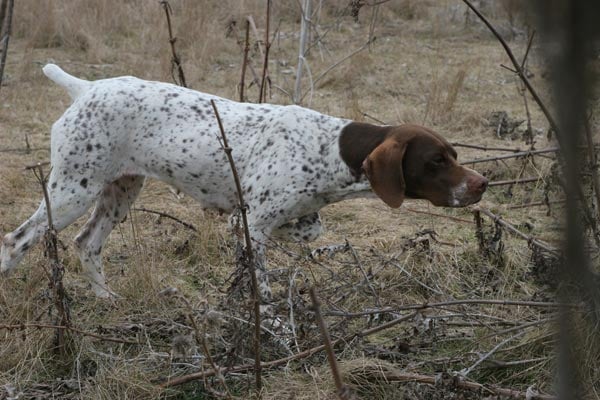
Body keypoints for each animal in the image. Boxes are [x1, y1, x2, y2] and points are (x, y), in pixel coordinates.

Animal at [1, 65, 488, 304]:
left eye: (455, 155)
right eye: (436, 160)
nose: (482, 183)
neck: (327, 149)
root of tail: (85, 88)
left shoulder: (285, 217)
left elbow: (309, 228)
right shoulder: (251, 225)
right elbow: (261, 285)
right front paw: (268, 322)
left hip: (119, 191)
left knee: (88, 244)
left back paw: (106, 298)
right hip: (72, 190)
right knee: (16, 240)